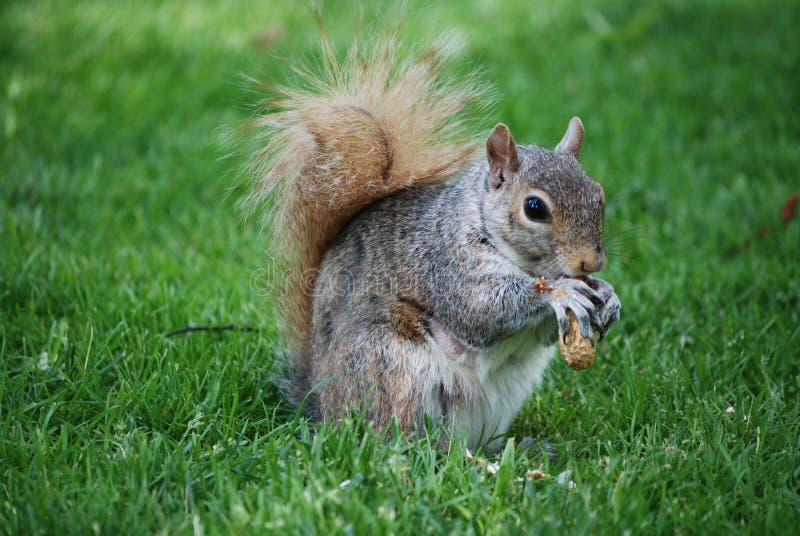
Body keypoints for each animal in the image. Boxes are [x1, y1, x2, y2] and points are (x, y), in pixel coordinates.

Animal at [242, 17, 621, 451]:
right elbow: (481, 309)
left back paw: (511, 448)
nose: (591, 261)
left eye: (599, 195)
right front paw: (562, 291)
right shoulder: (445, 261)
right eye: (534, 208)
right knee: (403, 441)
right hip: (391, 366)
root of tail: (323, 409)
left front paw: (608, 296)